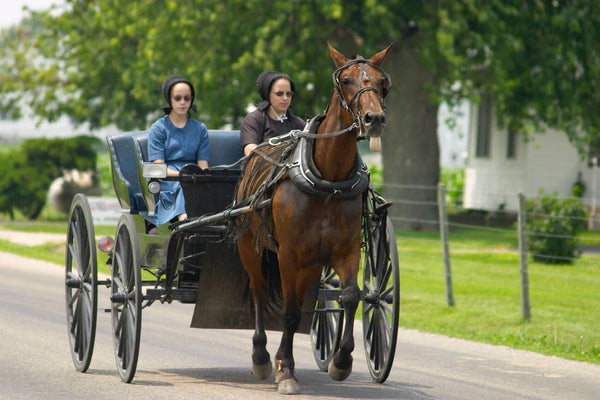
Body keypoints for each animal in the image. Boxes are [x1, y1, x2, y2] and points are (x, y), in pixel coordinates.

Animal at [234, 43, 394, 394]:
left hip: (310, 264)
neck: (328, 181)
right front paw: (285, 371)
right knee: (260, 292)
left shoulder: (345, 250)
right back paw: (262, 357)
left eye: (382, 82)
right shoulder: (288, 254)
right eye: (346, 80)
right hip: (250, 247)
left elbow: (350, 297)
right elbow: (291, 313)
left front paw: (341, 361)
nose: (374, 118)